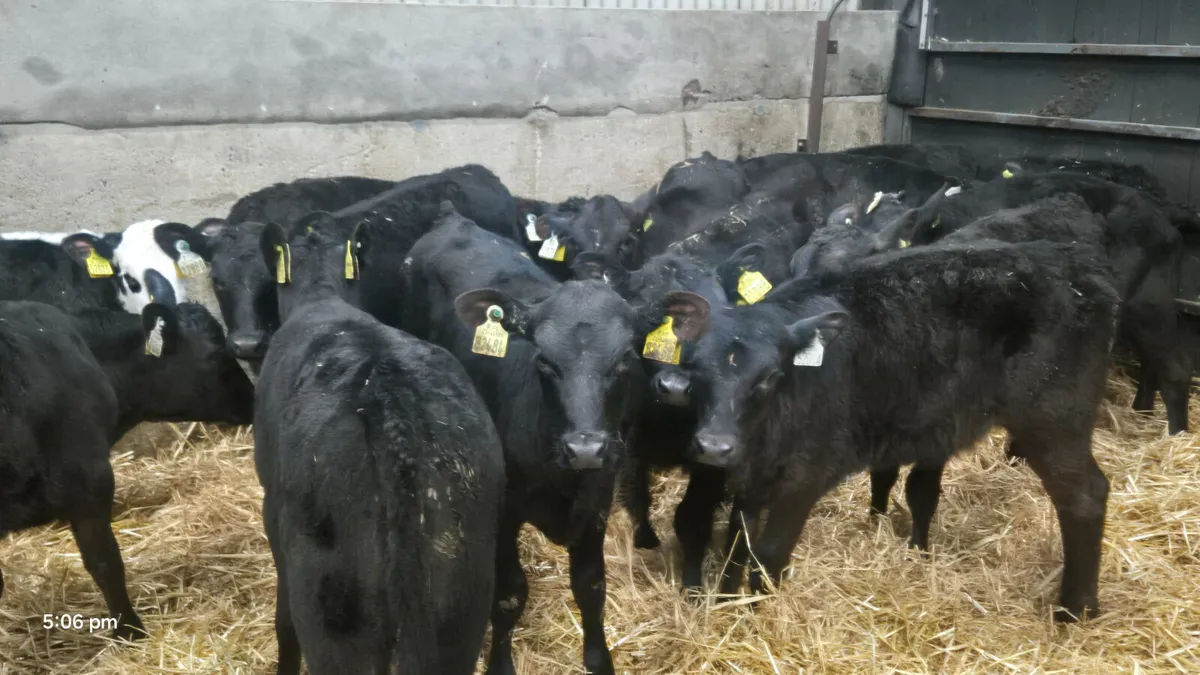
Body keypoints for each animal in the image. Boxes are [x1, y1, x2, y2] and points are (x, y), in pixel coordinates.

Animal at [404, 204, 646, 675]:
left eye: (625, 359)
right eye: (545, 361)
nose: (585, 448)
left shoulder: (597, 504)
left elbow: (592, 587)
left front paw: (599, 659)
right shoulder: (503, 512)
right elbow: (509, 595)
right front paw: (500, 664)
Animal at [661, 239, 1119, 623]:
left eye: (771, 376)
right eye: (693, 366)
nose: (714, 446)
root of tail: (1078, 269)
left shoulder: (805, 475)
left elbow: (770, 554)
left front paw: (757, 617)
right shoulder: (751, 478)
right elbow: (737, 547)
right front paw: (726, 605)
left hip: (1055, 417)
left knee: (1085, 496)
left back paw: (1074, 609)